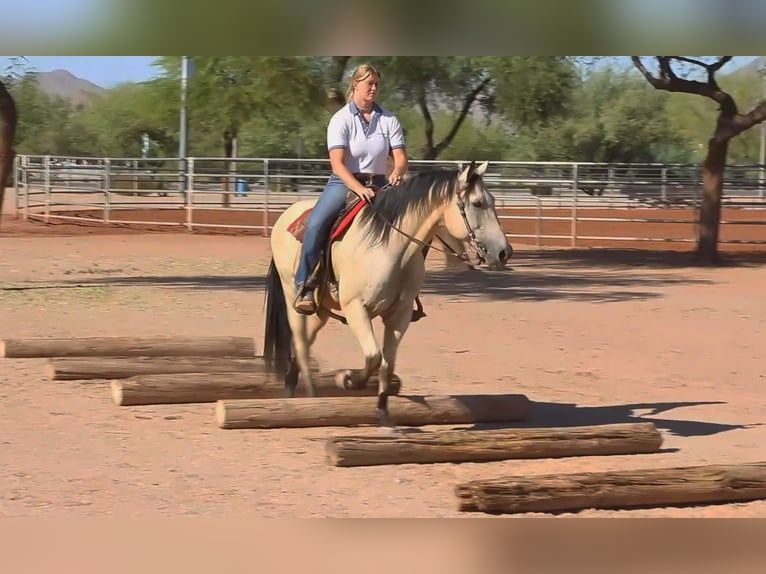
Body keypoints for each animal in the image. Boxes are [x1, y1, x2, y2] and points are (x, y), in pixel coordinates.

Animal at [262, 160, 512, 429]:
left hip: (322, 309)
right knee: (300, 341)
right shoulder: (356, 308)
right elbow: (373, 356)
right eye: (477, 203)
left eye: (492, 201)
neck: (389, 247)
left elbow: (386, 364)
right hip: (293, 300)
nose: (504, 253)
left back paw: (295, 388)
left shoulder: (399, 315)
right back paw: (308, 398)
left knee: (305, 344)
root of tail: (285, 216)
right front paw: (348, 380)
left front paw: (383, 414)